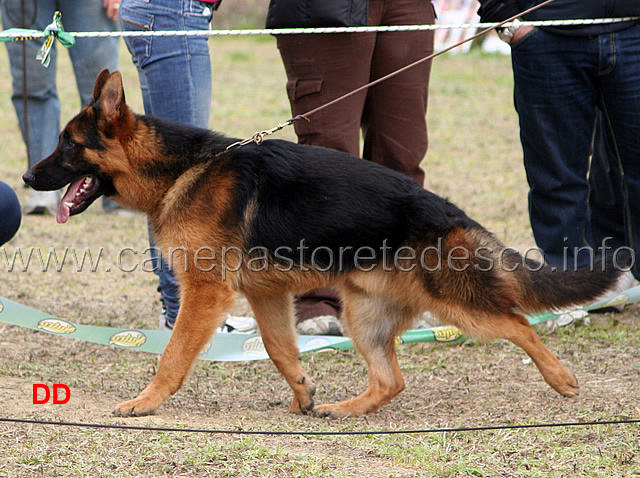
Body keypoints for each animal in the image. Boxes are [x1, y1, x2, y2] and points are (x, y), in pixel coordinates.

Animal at [23, 71, 620, 418]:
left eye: (68, 146)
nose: (27, 178)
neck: (181, 169)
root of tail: (453, 213)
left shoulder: (207, 294)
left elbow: (171, 358)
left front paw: (143, 403)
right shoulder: (265, 296)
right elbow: (281, 349)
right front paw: (303, 394)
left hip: (457, 305)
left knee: (519, 323)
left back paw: (562, 379)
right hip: (362, 316)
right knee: (393, 380)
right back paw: (346, 408)